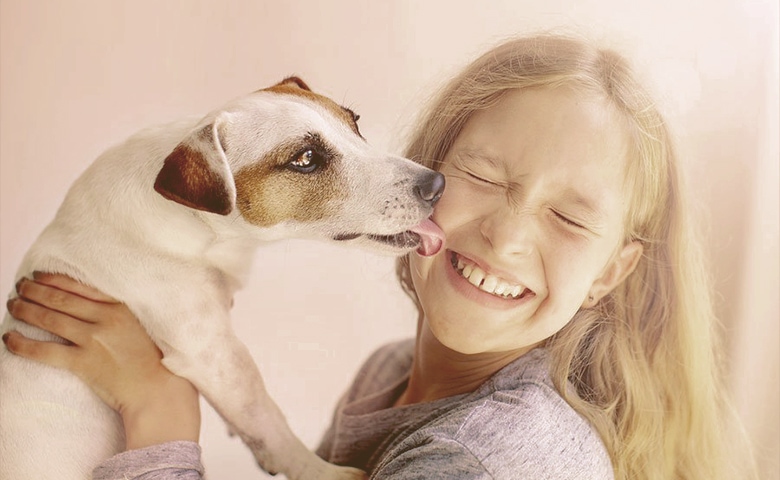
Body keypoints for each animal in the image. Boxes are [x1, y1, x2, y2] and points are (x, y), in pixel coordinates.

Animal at [0, 77, 444, 478]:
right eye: (305, 159)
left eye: (355, 124)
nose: (436, 184)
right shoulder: (214, 354)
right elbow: (266, 418)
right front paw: (320, 471)